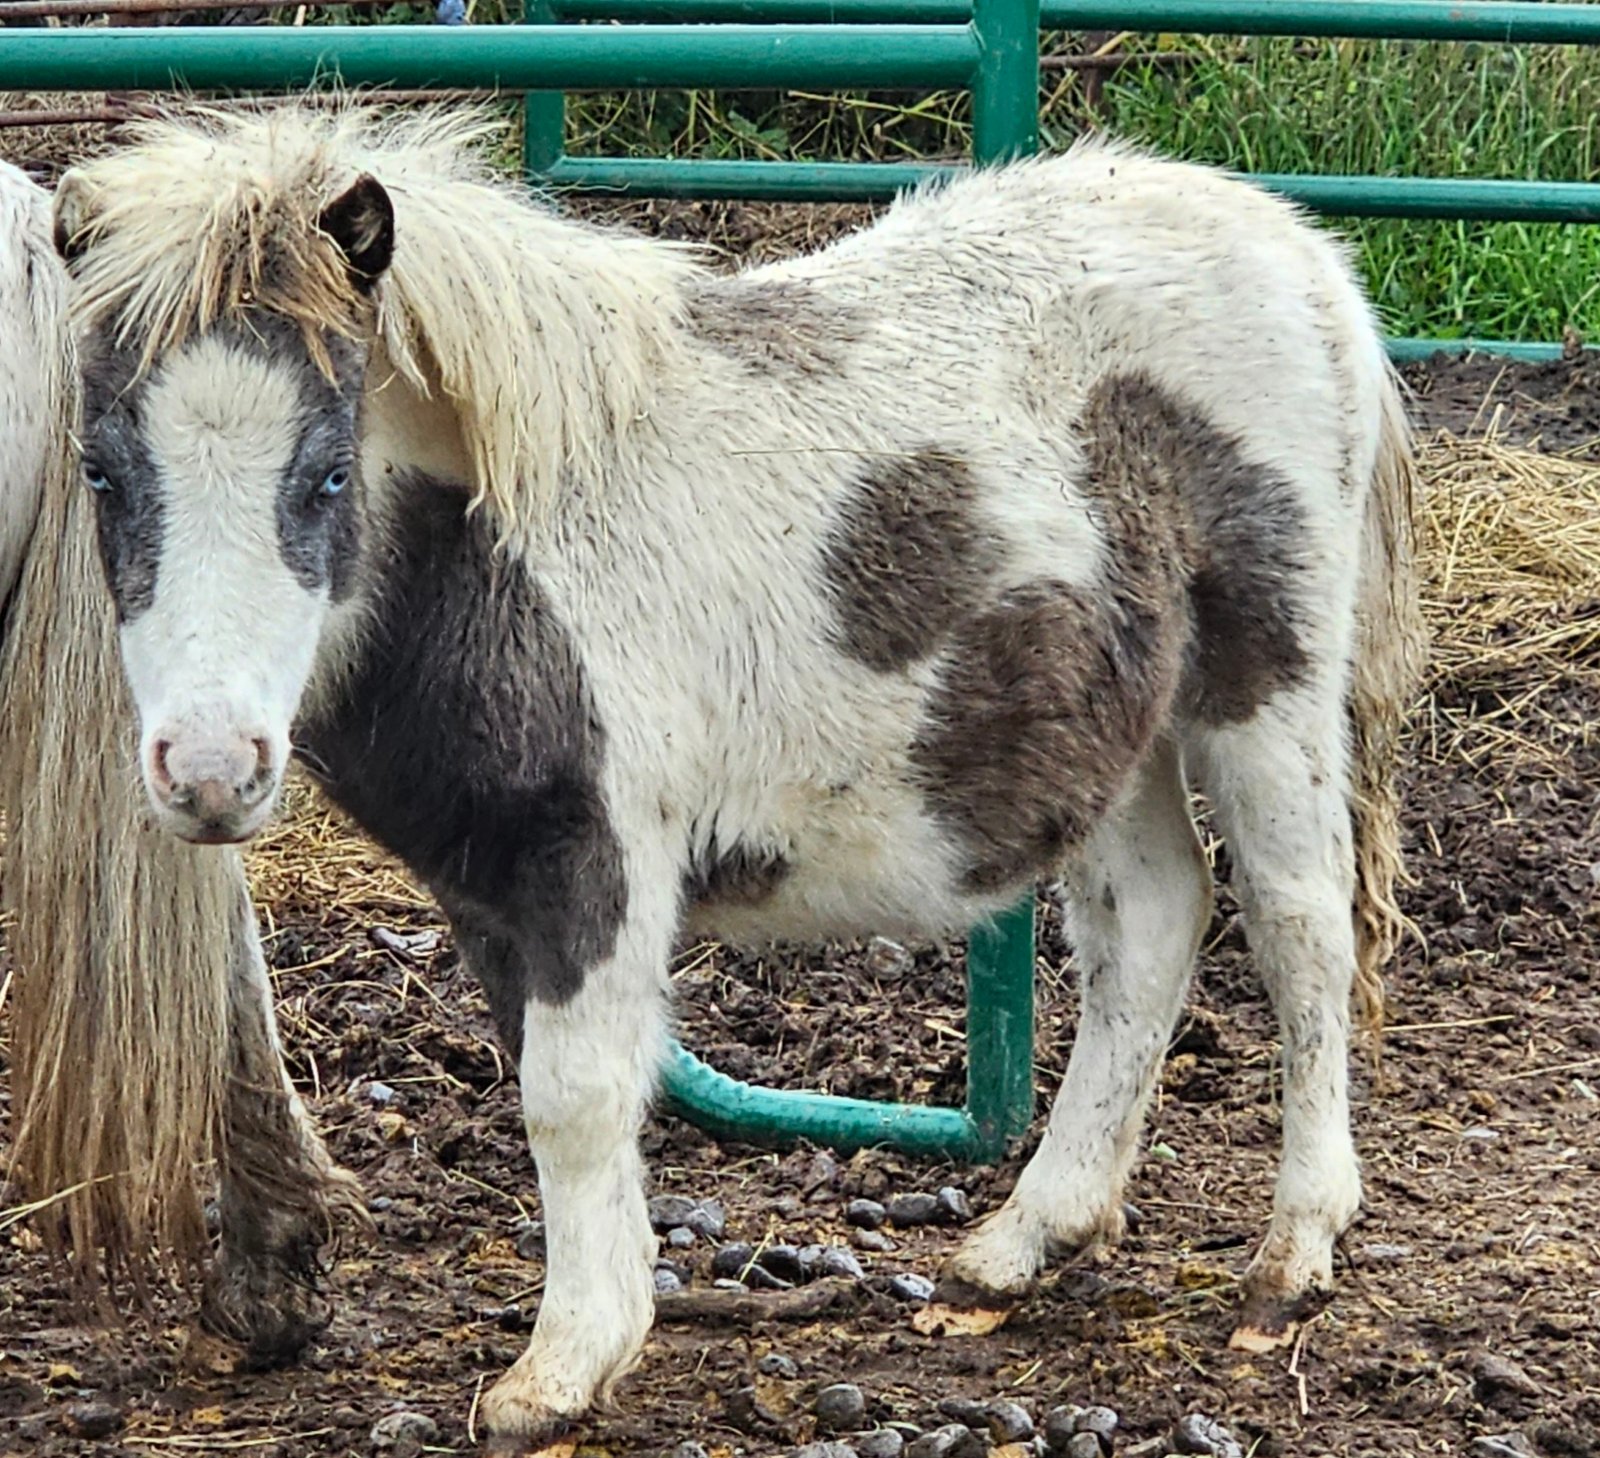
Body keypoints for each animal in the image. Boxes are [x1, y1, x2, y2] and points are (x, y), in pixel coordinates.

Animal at [40, 105, 1427, 1446]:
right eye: (102, 473)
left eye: (327, 472)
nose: (208, 773)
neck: (506, 548)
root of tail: (1299, 250)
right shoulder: (490, 886)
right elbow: (558, 1085)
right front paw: (602, 1332)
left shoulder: (595, 857)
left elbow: (572, 1097)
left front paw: (557, 1374)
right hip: (1108, 723)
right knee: (1148, 923)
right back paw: (1024, 1241)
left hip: (1266, 684)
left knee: (1300, 930)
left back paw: (1291, 1256)